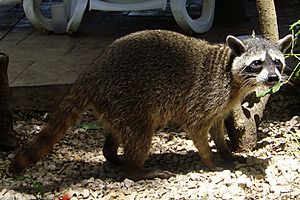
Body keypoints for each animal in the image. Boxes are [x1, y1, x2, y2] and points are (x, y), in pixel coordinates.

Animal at [10, 30, 292, 181]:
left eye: (277, 62)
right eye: (257, 63)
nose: (273, 78)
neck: (231, 74)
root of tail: (91, 72)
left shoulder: (222, 104)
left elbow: (216, 128)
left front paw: (225, 151)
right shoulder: (207, 94)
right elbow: (197, 128)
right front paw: (210, 159)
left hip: (114, 104)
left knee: (119, 131)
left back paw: (112, 153)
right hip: (127, 96)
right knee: (140, 133)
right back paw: (135, 169)